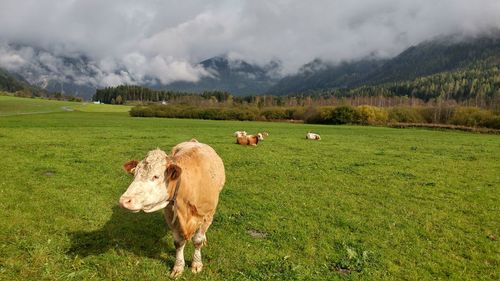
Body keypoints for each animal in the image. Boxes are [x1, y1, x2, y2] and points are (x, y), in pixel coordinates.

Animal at [119, 138, 225, 276]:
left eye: (156, 176)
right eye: (135, 174)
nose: (124, 200)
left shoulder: (207, 215)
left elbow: (197, 240)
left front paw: (196, 264)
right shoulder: (170, 215)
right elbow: (178, 243)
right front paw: (178, 267)